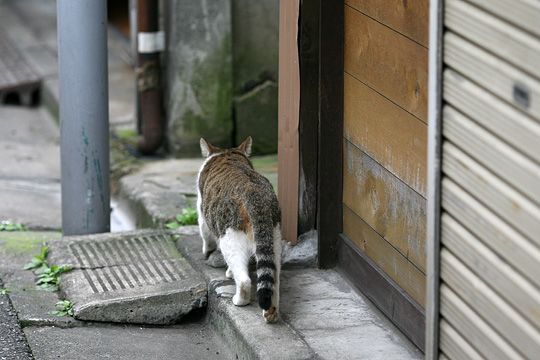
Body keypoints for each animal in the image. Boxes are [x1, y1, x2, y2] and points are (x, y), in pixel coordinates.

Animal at [198, 136, 282, 322]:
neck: (227, 153)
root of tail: (254, 193)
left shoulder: (201, 210)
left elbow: (205, 235)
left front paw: (207, 252)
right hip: (273, 237)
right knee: (274, 278)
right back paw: (271, 312)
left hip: (229, 238)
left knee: (244, 280)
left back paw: (239, 300)